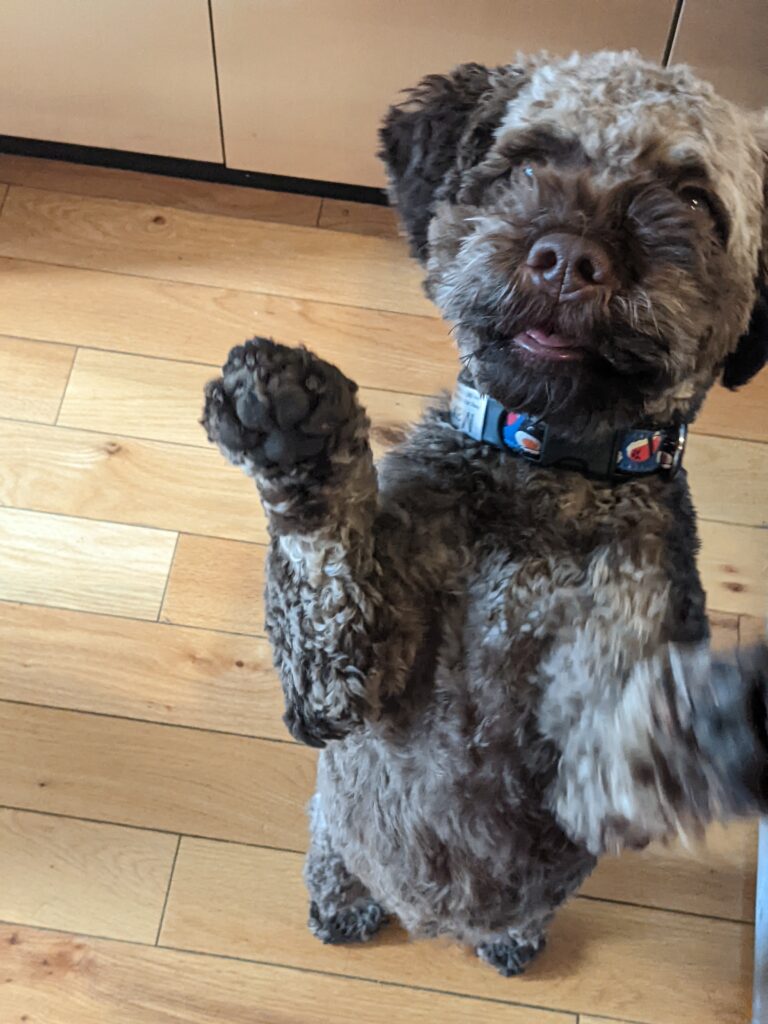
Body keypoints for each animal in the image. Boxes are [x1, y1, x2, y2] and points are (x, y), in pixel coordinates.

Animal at [202, 49, 768, 974]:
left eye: (693, 200)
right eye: (528, 160)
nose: (570, 257)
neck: (547, 469)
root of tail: (432, 921)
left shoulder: (588, 763)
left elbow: (649, 732)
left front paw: (733, 709)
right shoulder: (341, 693)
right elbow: (322, 564)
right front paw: (292, 433)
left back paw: (510, 940)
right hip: (333, 825)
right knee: (333, 858)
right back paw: (343, 905)